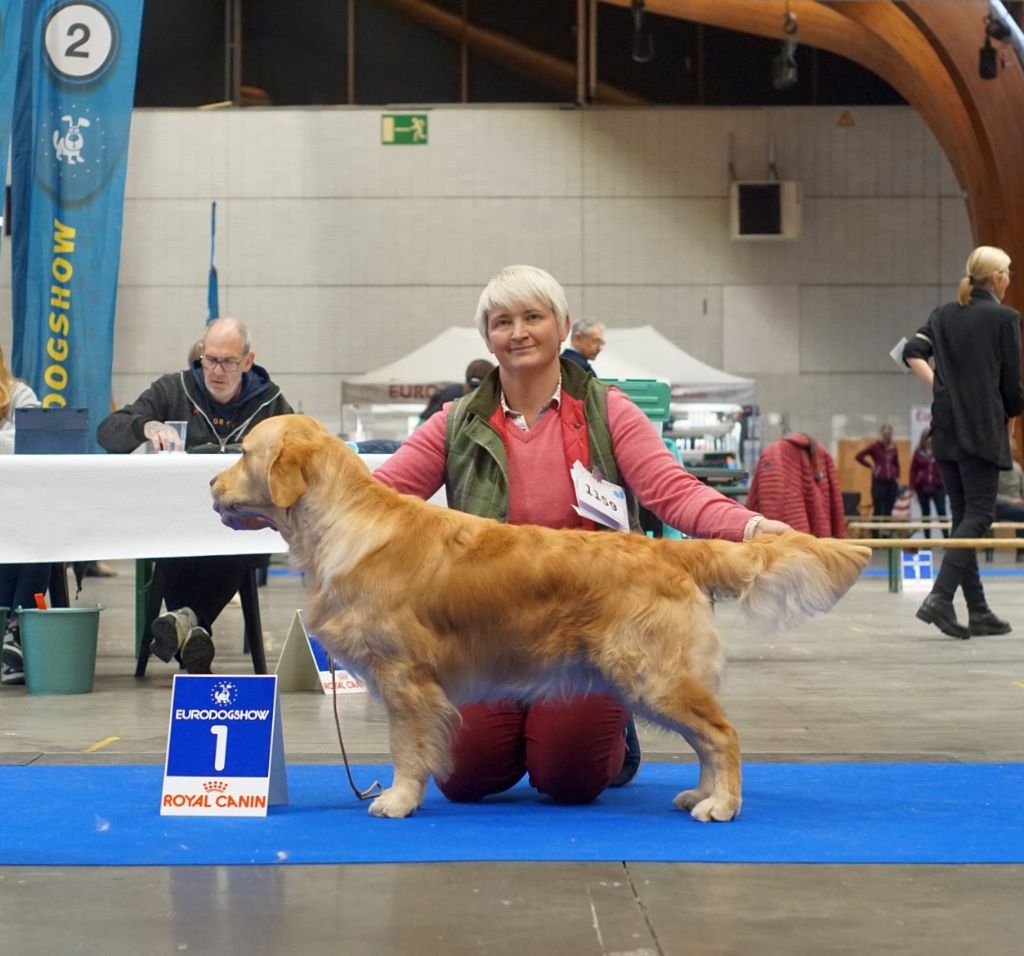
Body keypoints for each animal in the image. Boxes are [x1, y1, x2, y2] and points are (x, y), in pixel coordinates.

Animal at [211, 415, 868, 818]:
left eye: (242, 453)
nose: (211, 484)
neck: (341, 522)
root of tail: (668, 548)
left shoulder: (406, 677)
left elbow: (406, 748)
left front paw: (398, 800)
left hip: (653, 676)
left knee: (723, 735)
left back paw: (723, 805)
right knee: (707, 740)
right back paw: (699, 796)